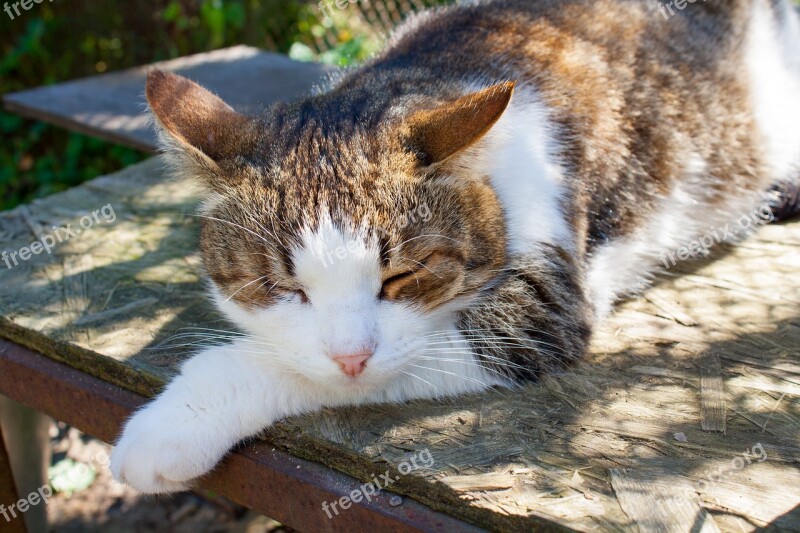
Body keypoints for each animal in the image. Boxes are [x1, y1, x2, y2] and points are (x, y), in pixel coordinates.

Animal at [111, 0, 800, 494]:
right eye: (282, 287)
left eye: (403, 276)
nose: (351, 356)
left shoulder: (539, 308)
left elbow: (324, 362)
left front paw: (175, 421)